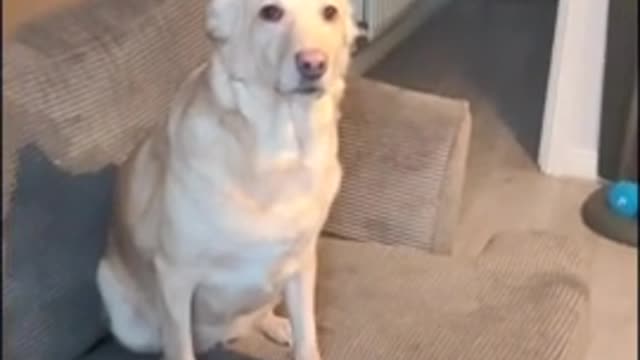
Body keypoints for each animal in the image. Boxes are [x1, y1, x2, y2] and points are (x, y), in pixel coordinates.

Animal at [95, 0, 358, 360]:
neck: (278, 153)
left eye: (330, 13)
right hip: (128, 318)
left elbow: (308, 336)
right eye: (270, 13)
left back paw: (276, 325)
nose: (314, 64)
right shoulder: (174, 278)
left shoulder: (302, 264)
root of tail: (218, 338)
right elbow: (179, 348)